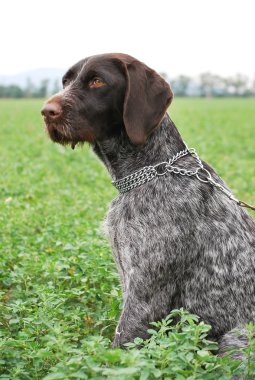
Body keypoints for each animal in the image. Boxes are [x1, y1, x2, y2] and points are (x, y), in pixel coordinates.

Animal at [41, 52, 255, 354]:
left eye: (97, 81)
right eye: (66, 81)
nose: (46, 111)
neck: (153, 167)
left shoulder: (145, 295)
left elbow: (121, 347)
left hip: (237, 339)